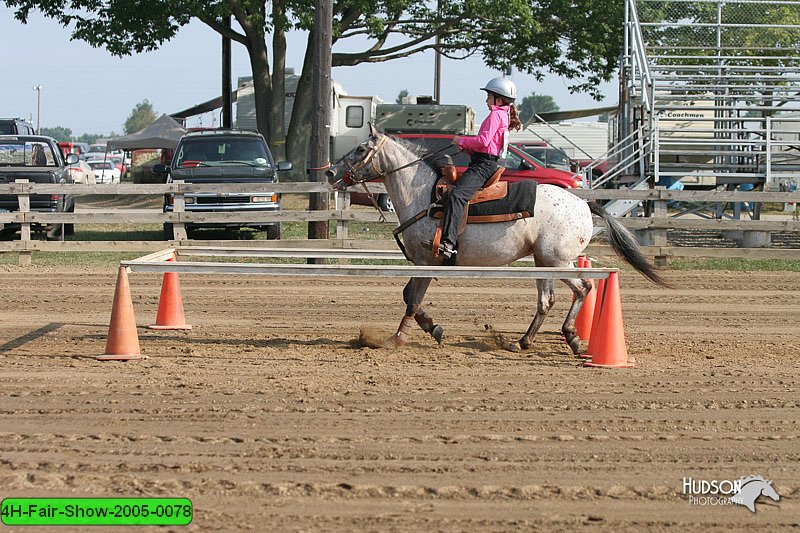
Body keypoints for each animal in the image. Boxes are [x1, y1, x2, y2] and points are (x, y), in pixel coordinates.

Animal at [324, 127, 668, 354]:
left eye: (360, 149)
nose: (329, 173)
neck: (422, 193)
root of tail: (585, 204)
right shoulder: (427, 264)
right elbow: (412, 297)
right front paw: (434, 329)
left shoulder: (426, 261)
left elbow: (412, 297)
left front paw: (399, 338)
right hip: (543, 262)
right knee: (547, 300)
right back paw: (523, 341)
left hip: (557, 260)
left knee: (583, 288)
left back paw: (571, 337)